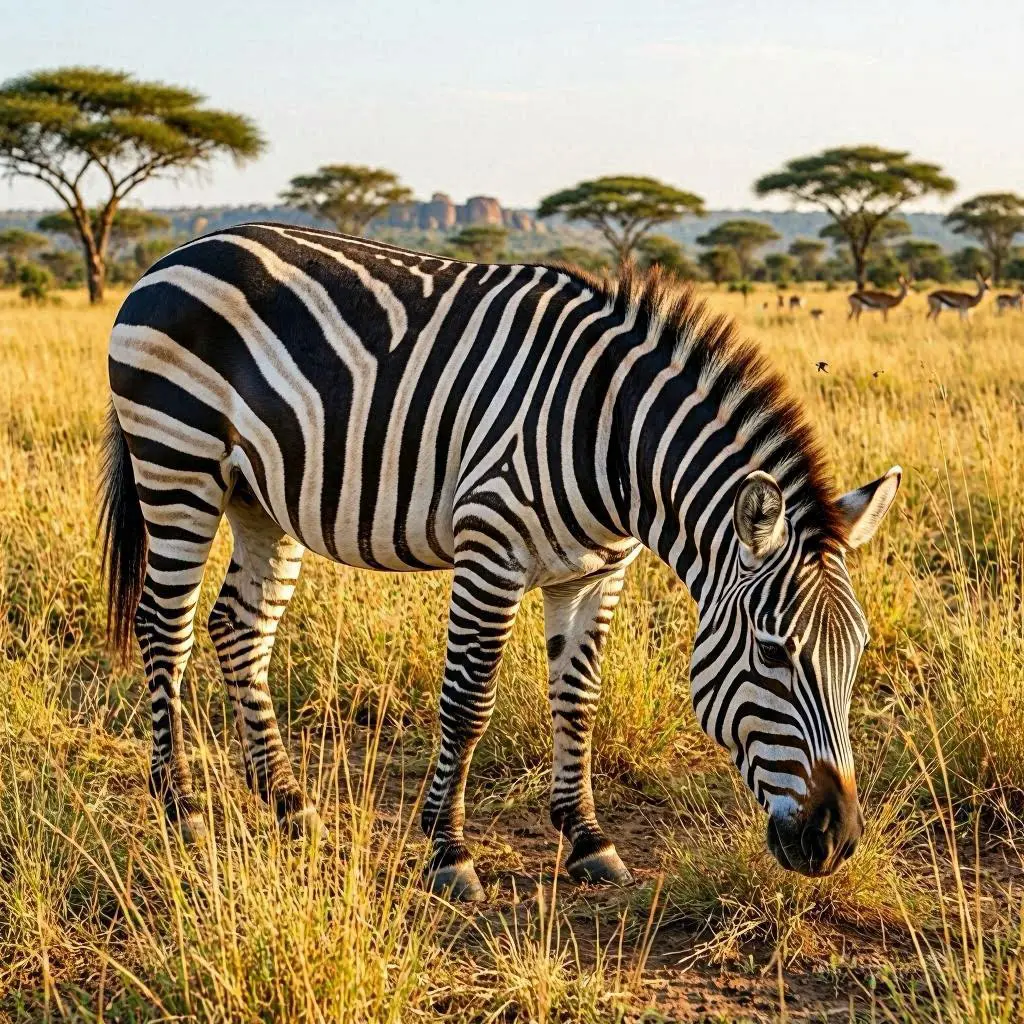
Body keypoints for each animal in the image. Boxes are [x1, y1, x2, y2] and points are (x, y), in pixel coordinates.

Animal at [100, 223, 901, 900]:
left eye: (858, 653)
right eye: (773, 653)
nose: (835, 840)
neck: (612, 438)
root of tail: (180, 252)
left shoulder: (595, 571)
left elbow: (578, 700)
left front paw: (589, 841)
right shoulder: (490, 548)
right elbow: (467, 703)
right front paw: (449, 854)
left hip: (259, 496)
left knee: (241, 628)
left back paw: (290, 806)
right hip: (177, 463)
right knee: (165, 630)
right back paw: (183, 811)